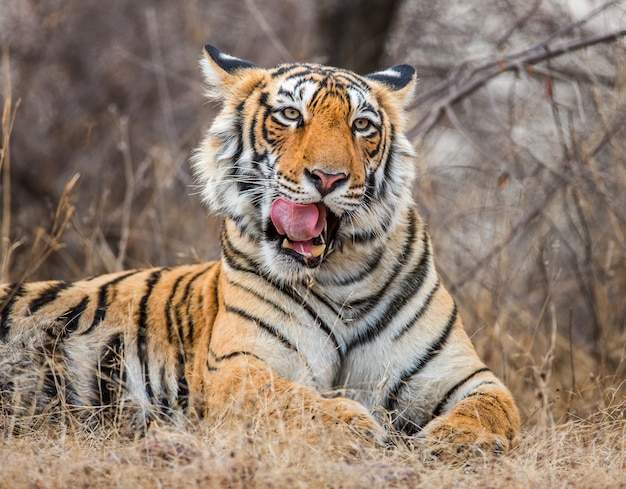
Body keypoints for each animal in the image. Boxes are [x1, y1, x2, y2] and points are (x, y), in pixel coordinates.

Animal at [0, 43, 516, 460]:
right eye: (291, 116)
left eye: (362, 125)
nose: (328, 177)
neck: (341, 274)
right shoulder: (237, 366)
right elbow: (286, 399)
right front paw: (352, 425)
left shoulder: (462, 374)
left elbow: (495, 408)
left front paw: (457, 440)